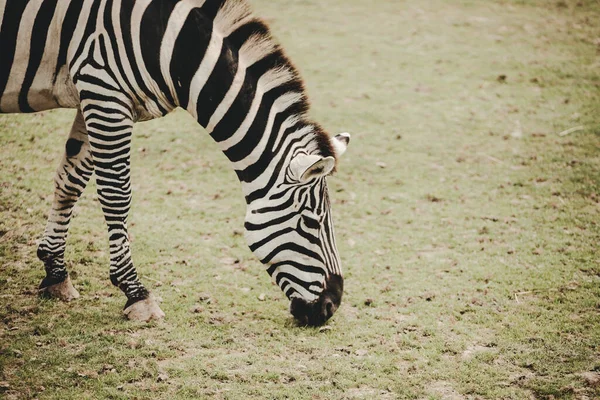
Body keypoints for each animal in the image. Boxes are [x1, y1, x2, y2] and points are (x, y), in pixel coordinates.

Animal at [0, 0, 350, 324]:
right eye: (311, 222)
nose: (331, 307)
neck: (174, 45)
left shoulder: (92, 97)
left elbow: (70, 181)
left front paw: (55, 273)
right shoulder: (104, 91)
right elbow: (116, 195)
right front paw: (135, 293)